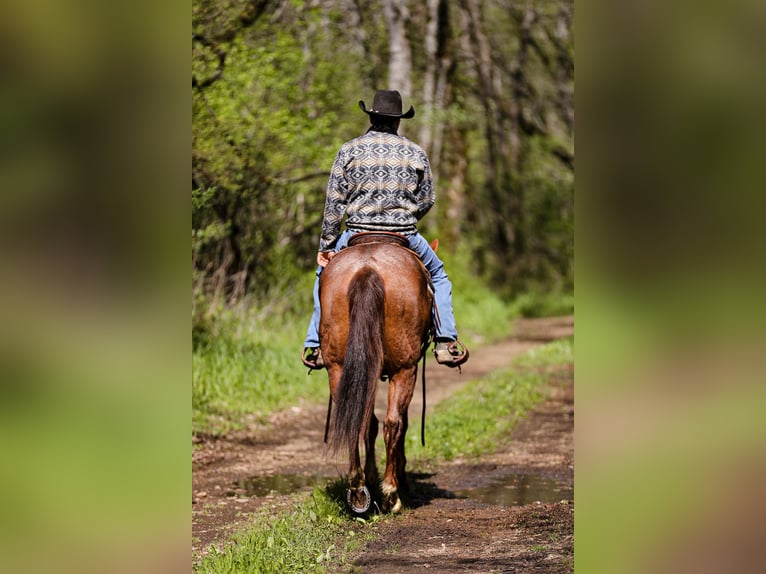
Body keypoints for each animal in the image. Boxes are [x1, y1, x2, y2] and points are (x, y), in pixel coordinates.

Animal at [318, 232, 436, 516]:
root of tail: (367, 270)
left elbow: (368, 423)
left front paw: (372, 478)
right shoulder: (407, 369)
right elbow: (400, 423)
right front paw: (399, 478)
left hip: (339, 368)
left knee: (355, 418)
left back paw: (358, 490)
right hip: (404, 369)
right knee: (393, 422)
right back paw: (391, 494)